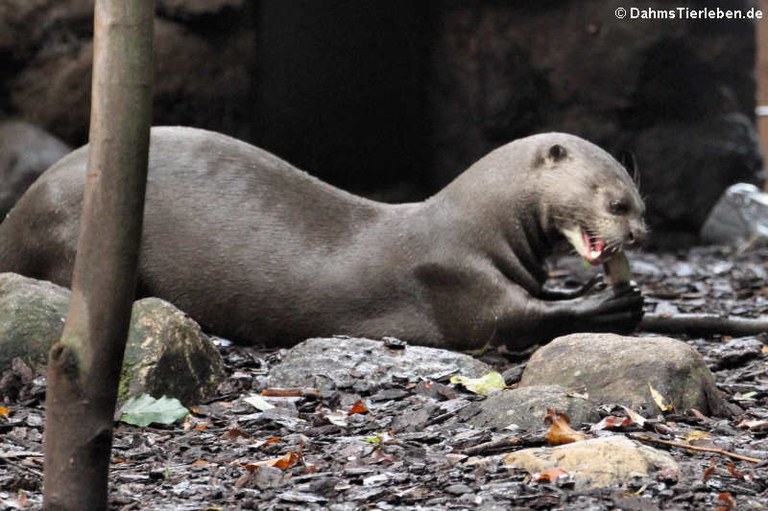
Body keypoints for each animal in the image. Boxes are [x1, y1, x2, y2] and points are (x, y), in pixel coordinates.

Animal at [0, 128, 648, 352]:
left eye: (642, 204)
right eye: (615, 202)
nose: (639, 231)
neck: (477, 223)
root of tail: (18, 211)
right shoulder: (455, 275)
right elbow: (512, 319)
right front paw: (612, 303)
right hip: (70, 230)